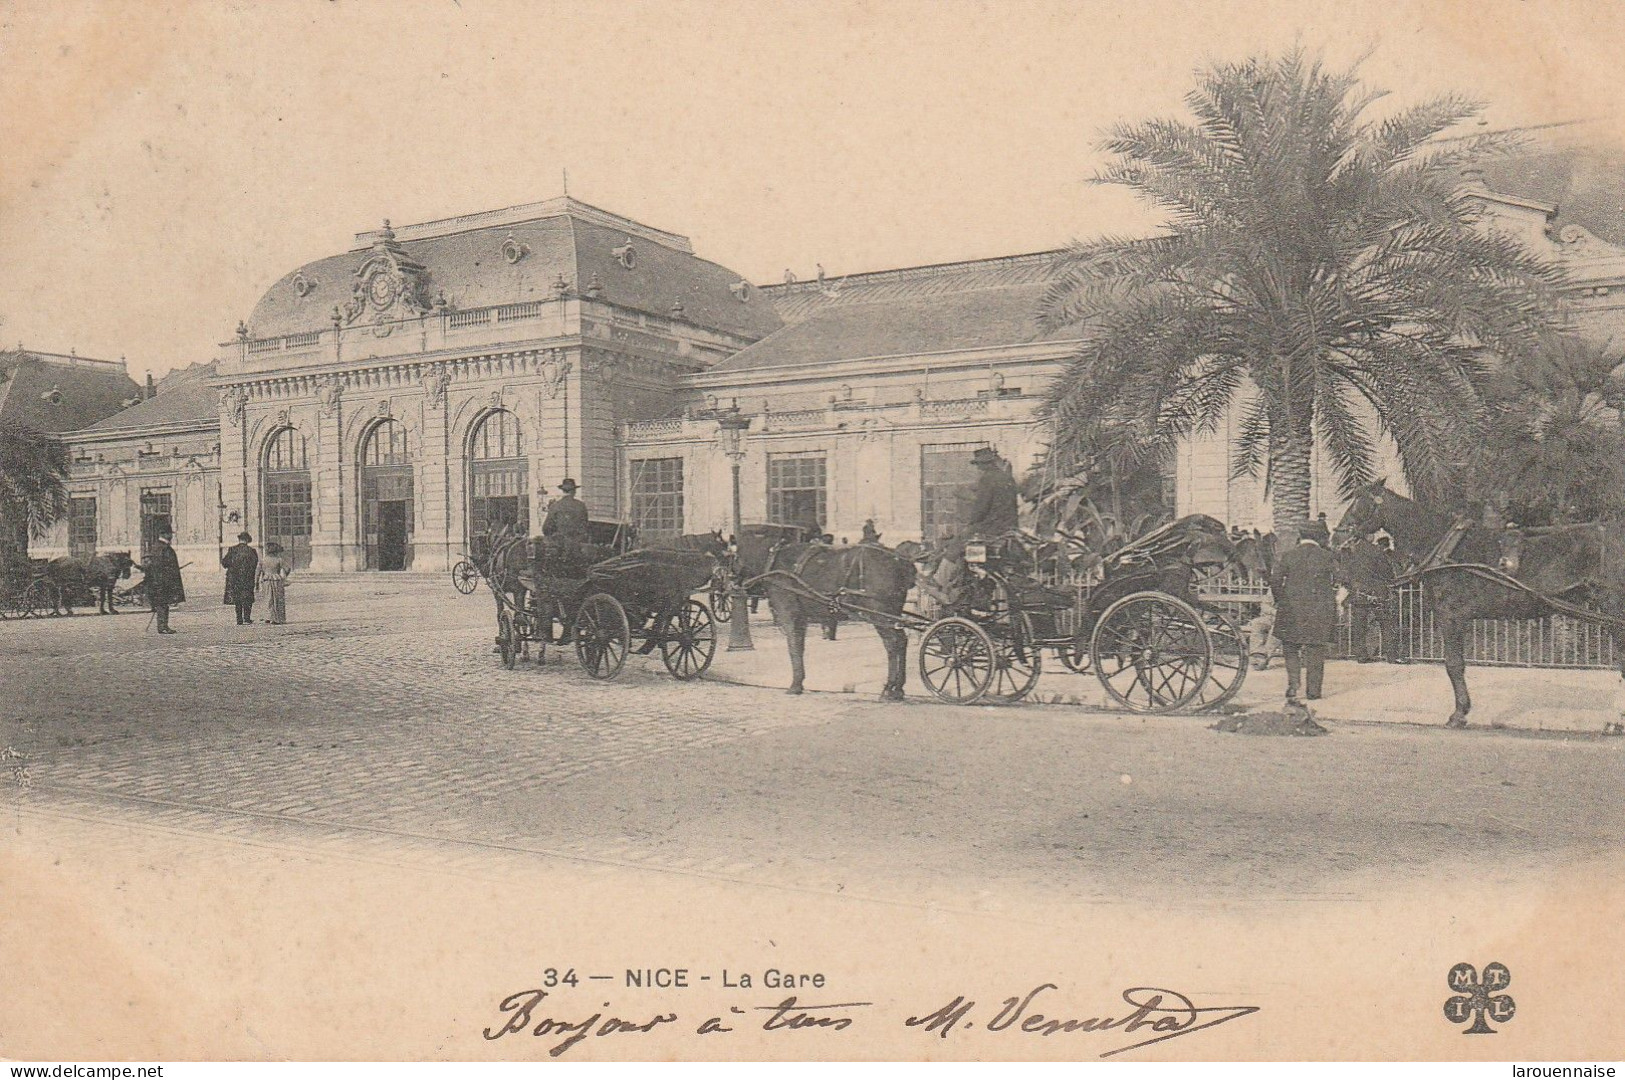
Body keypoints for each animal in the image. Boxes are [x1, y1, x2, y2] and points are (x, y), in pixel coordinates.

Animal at [737, 535, 916, 698]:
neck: (772, 558)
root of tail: (900, 560)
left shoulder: (789, 615)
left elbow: (793, 648)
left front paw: (795, 685)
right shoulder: (801, 618)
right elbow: (799, 647)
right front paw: (799, 682)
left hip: (879, 614)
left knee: (892, 643)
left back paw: (889, 688)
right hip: (893, 613)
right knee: (902, 640)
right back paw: (899, 688)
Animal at [1332, 480, 1625, 727]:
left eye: (1359, 504)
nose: (1336, 538)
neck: (1443, 547)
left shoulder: (1449, 615)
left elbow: (1453, 664)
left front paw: (1458, 714)